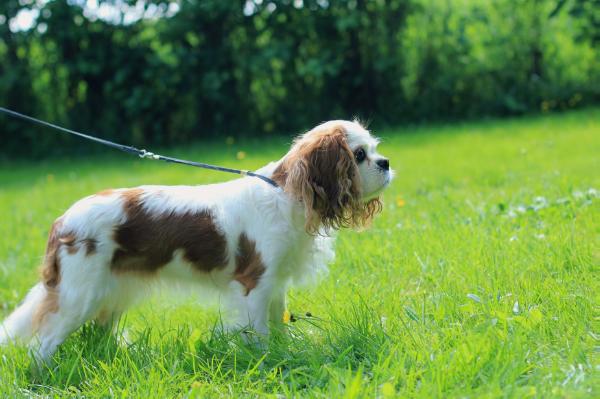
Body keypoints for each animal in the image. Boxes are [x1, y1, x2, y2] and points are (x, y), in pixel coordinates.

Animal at [0, 119, 394, 362]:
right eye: (359, 155)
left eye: (374, 150)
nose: (386, 162)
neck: (286, 193)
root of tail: (62, 220)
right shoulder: (253, 284)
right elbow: (259, 332)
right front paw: (266, 360)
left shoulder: (275, 284)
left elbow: (278, 323)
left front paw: (284, 352)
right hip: (79, 296)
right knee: (42, 345)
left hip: (110, 292)